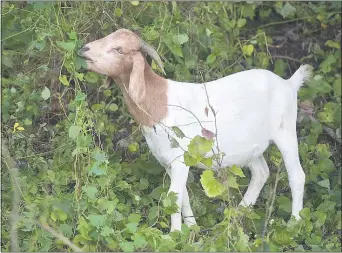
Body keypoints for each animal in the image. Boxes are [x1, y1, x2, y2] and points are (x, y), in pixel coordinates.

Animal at [79, 28, 314, 232]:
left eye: (119, 49)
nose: (84, 49)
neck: (159, 102)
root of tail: (289, 84)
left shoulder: (180, 159)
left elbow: (173, 195)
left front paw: (174, 235)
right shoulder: (168, 162)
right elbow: (182, 196)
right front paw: (192, 228)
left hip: (286, 131)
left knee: (297, 176)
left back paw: (293, 223)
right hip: (250, 147)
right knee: (261, 172)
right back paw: (237, 215)